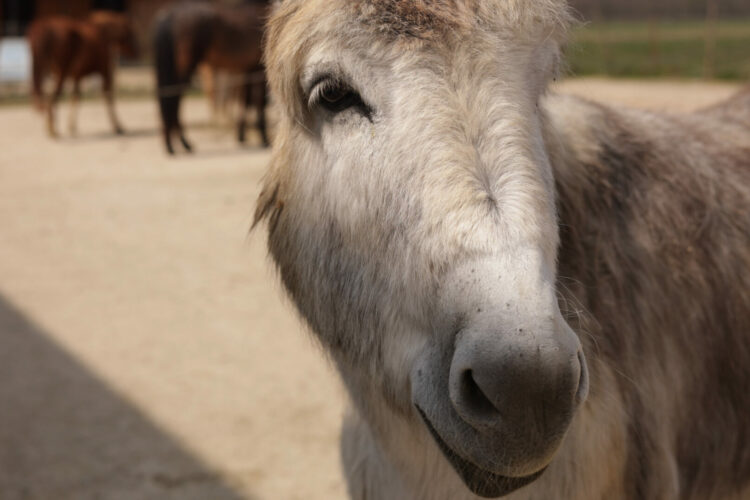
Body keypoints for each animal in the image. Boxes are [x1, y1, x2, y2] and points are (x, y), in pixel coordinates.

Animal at [152, 0, 270, 155]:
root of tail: (169, 15)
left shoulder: (246, 70)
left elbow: (244, 101)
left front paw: (241, 136)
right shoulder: (258, 71)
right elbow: (259, 103)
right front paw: (264, 139)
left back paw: (177, 144)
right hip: (185, 66)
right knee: (175, 100)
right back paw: (179, 144)